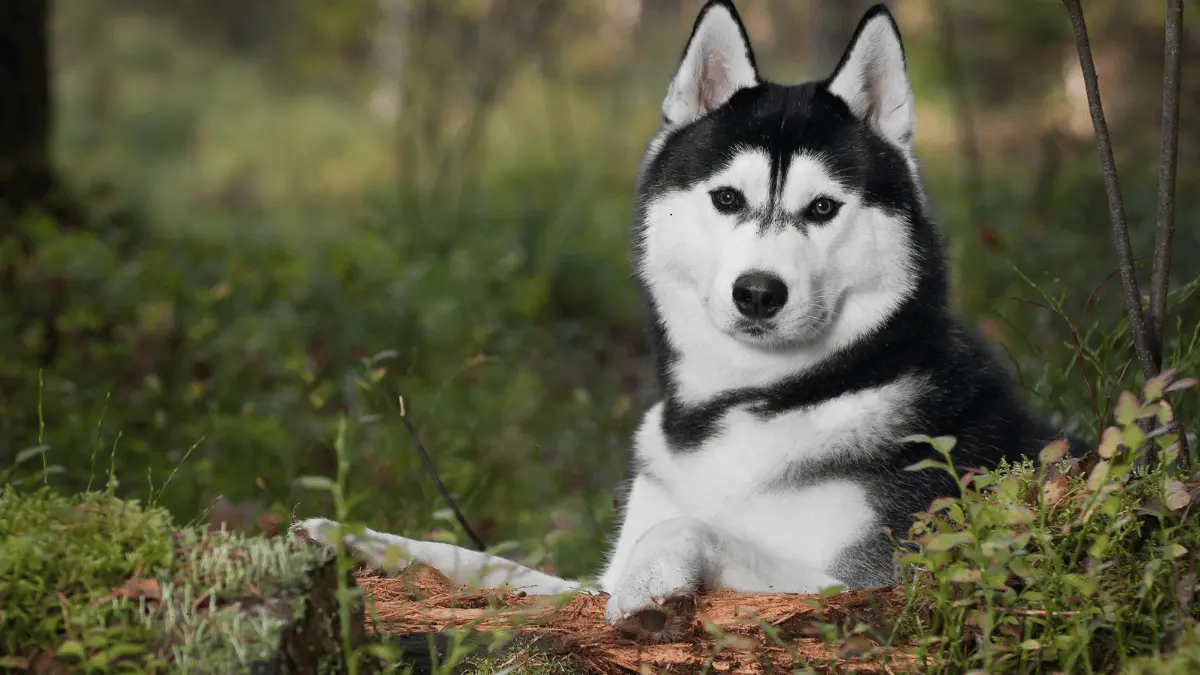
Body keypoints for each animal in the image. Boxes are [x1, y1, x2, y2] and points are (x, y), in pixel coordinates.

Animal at [292, 0, 1080, 638]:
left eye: (823, 208)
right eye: (727, 198)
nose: (758, 292)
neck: (753, 401)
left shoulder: (875, 584)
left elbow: (692, 523)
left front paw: (653, 581)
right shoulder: (585, 580)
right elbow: (485, 562)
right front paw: (351, 534)